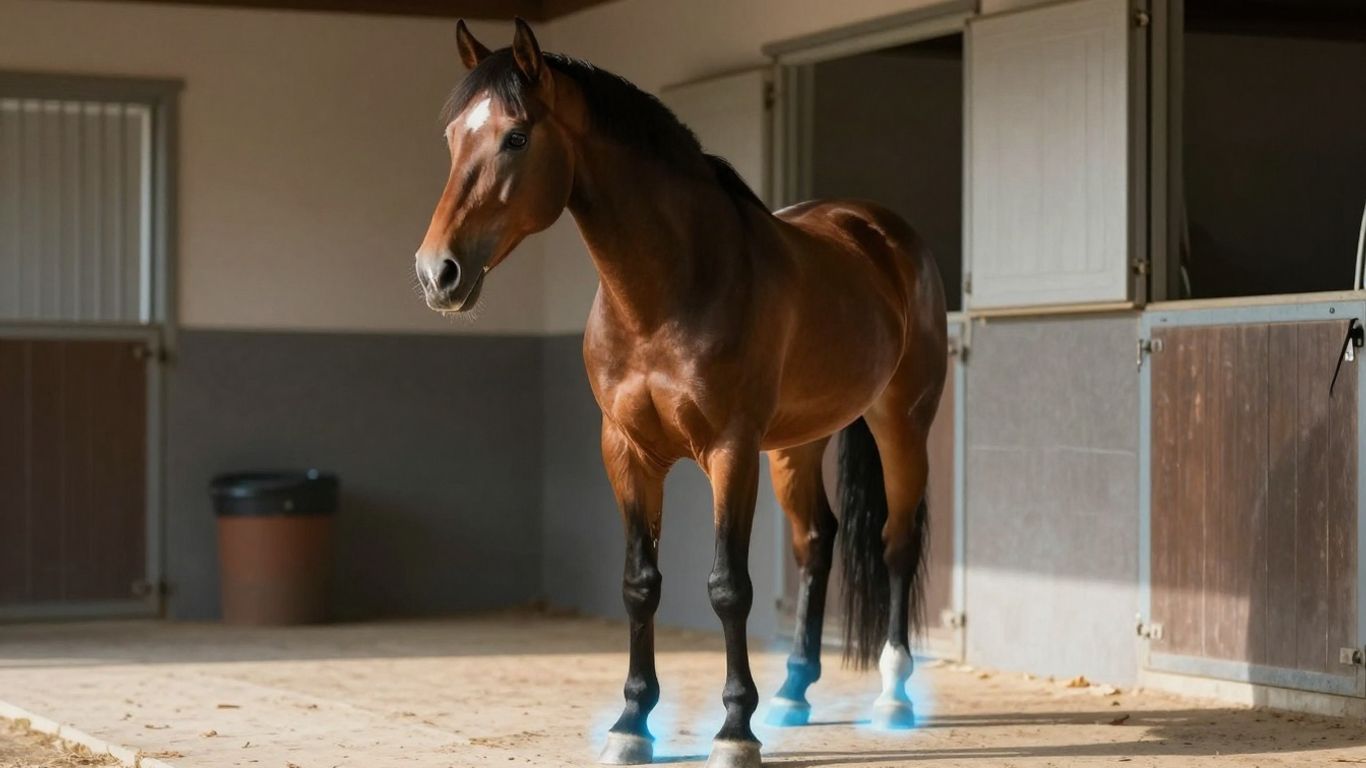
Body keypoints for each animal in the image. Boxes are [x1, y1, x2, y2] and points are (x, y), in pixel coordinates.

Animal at [413, 19, 948, 768]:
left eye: (516, 137)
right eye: (452, 138)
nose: (438, 273)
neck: (668, 290)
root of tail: (884, 233)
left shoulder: (731, 450)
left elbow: (728, 588)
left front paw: (734, 730)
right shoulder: (627, 450)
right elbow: (640, 585)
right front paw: (632, 723)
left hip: (901, 420)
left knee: (895, 543)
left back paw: (893, 696)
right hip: (799, 442)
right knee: (816, 541)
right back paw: (794, 691)